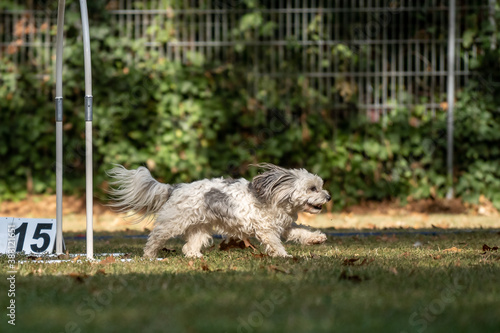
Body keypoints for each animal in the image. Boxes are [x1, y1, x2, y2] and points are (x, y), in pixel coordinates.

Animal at [107, 163, 330, 256]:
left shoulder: (284, 226)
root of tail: (176, 188)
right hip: (173, 223)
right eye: (313, 188)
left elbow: (301, 232)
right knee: (155, 237)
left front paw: (316, 238)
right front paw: (284, 256)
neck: (276, 197)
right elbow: (275, 244)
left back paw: (196, 257)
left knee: (189, 247)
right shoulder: (267, 230)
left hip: (200, 229)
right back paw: (150, 255)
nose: (328, 197)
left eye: (320, 186)